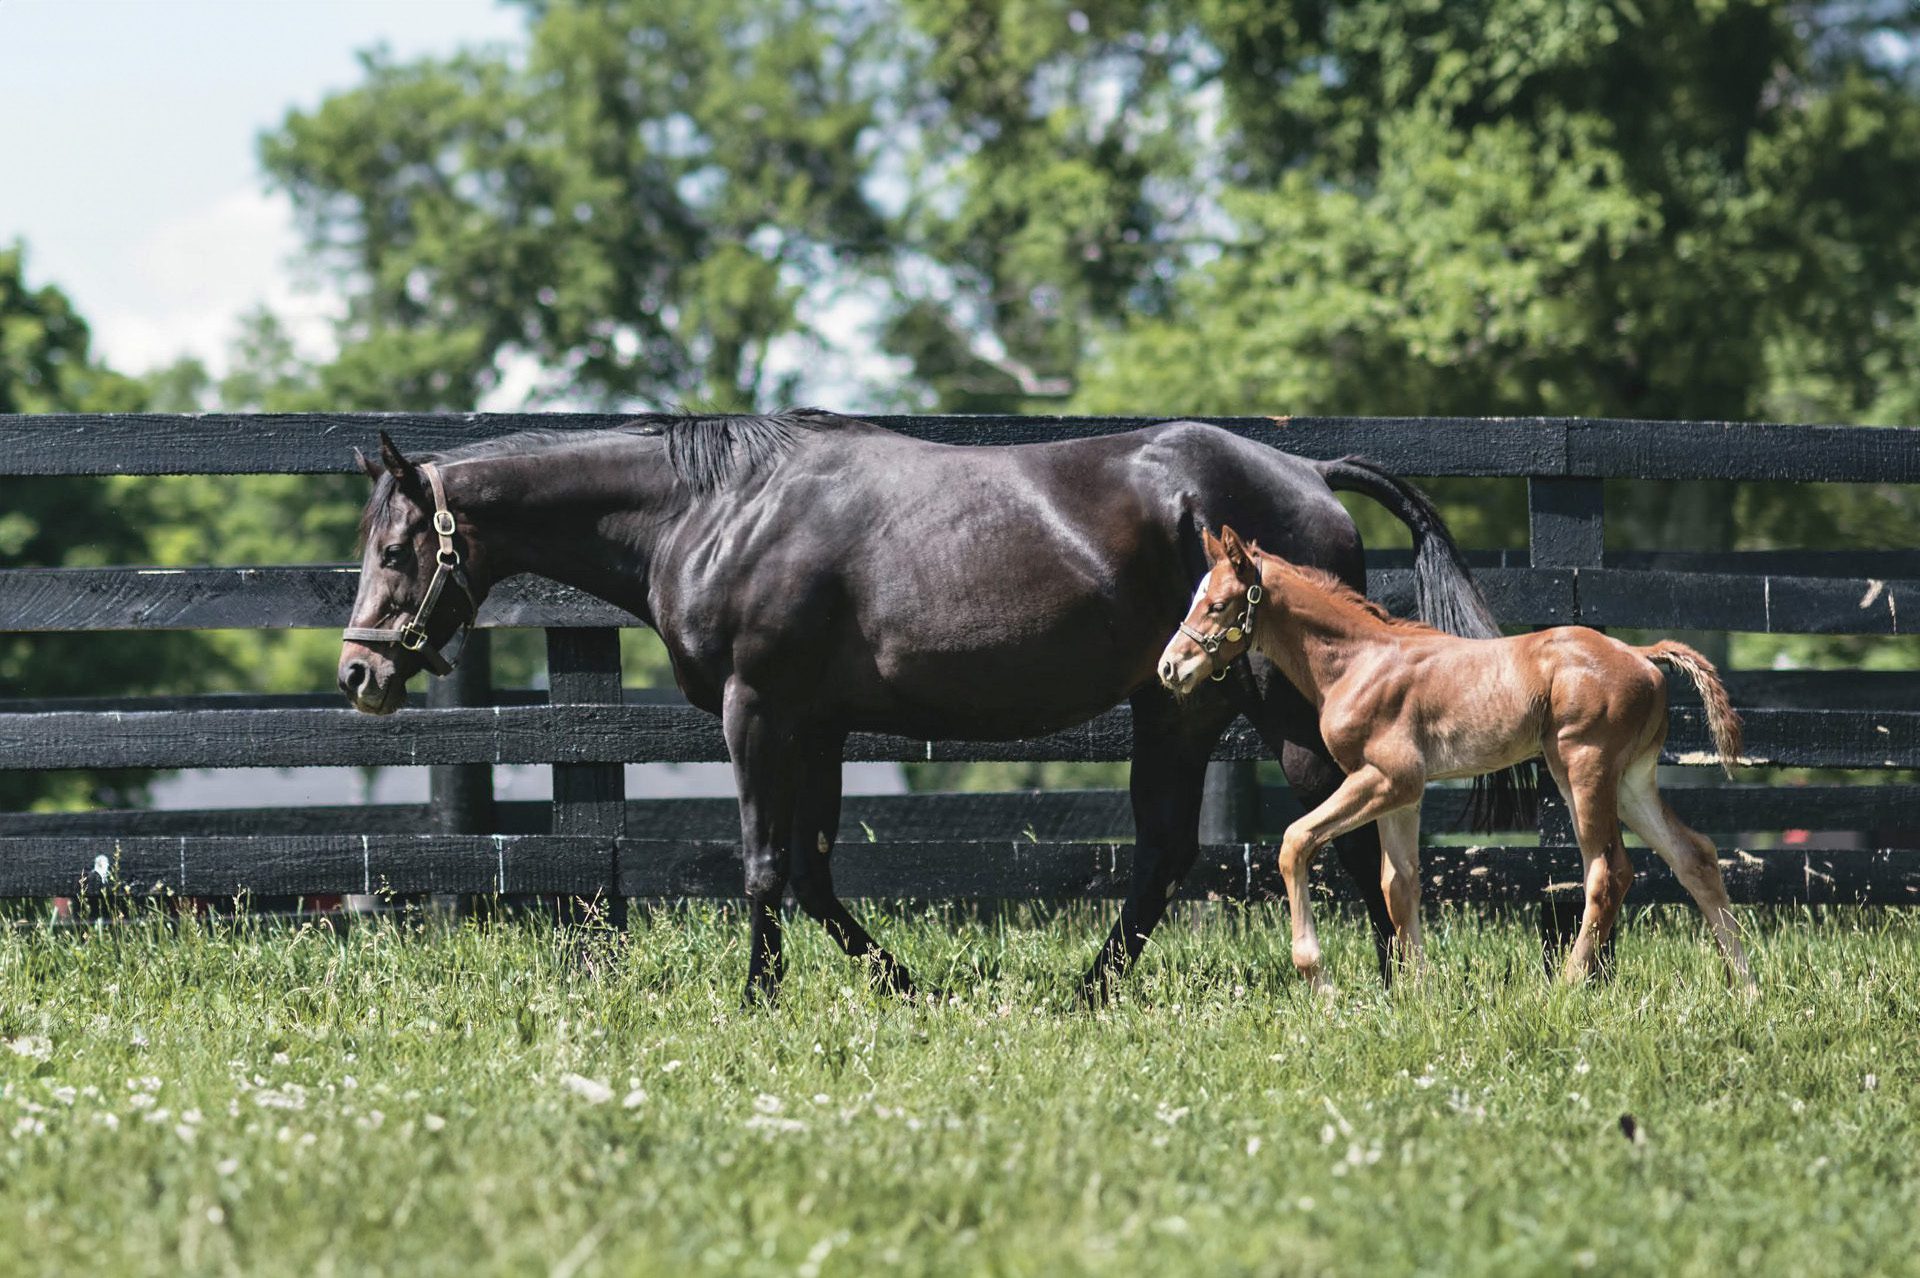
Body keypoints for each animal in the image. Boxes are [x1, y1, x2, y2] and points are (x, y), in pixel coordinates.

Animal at [337, 412, 1520, 997]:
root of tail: (1309, 473)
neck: (718, 510)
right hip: (1179, 707)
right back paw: (1092, 992)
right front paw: (902, 985)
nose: (360, 675)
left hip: (1275, 707)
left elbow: (764, 863)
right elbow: (812, 869)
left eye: (396, 549)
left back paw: (1382, 983)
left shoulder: (758, 711)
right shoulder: (817, 725)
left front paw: (758, 999)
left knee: (1342, 828)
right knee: (1168, 853)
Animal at [1152, 521, 1758, 990]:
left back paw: (1564, 987)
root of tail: (1640, 653)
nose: (1169, 667)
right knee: (1694, 854)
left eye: (1219, 604)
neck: (1358, 662)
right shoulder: (1403, 794)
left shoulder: (1388, 777)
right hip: (1630, 778)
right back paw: (1746, 987)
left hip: (1583, 766)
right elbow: (1399, 885)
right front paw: (1419, 992)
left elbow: (1296, 841)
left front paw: (1318, 980)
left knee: (1608, 872)